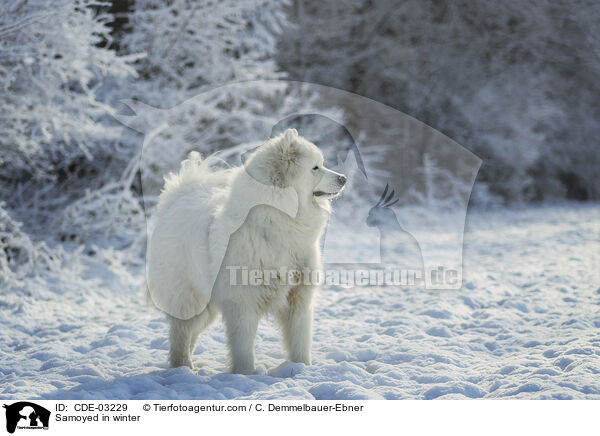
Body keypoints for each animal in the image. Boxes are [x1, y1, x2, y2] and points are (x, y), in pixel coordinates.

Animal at [146, 127, 346, 372]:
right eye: (315, 167)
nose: (344, 178)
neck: (278, 220)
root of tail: (178, 196)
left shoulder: (298, 298)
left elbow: (300, 339)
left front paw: (302, 368)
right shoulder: (243, 301)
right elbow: (243, 344)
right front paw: (246, 373)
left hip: (206, 306)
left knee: (191, 334)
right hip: (188, 299)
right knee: (181, 335)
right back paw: (182, 368)